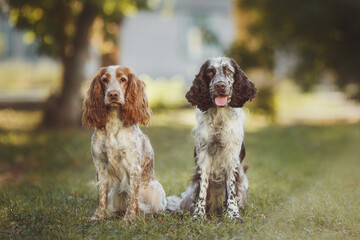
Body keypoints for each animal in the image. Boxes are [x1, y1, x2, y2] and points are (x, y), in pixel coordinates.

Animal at [82, 65, 167, 221]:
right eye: (105, 79)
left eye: (123, 79)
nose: (113, 94)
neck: (113, 123)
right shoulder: (100, 165)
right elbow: (101, 195)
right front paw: (98, 216)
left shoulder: (133, 167)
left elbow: (132, 197)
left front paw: (129, 218)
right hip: (115, 192)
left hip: (156, 191)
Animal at [166, 56, 256, 221]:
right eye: (209, 72)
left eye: (228, 71)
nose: (220, 85)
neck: (219, 118)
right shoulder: (203, 157)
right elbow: (202, 189)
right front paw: (198, 216)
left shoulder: (232, 158)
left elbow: (231, 190)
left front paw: (233, 214)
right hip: (188, 193)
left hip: (243, 185)